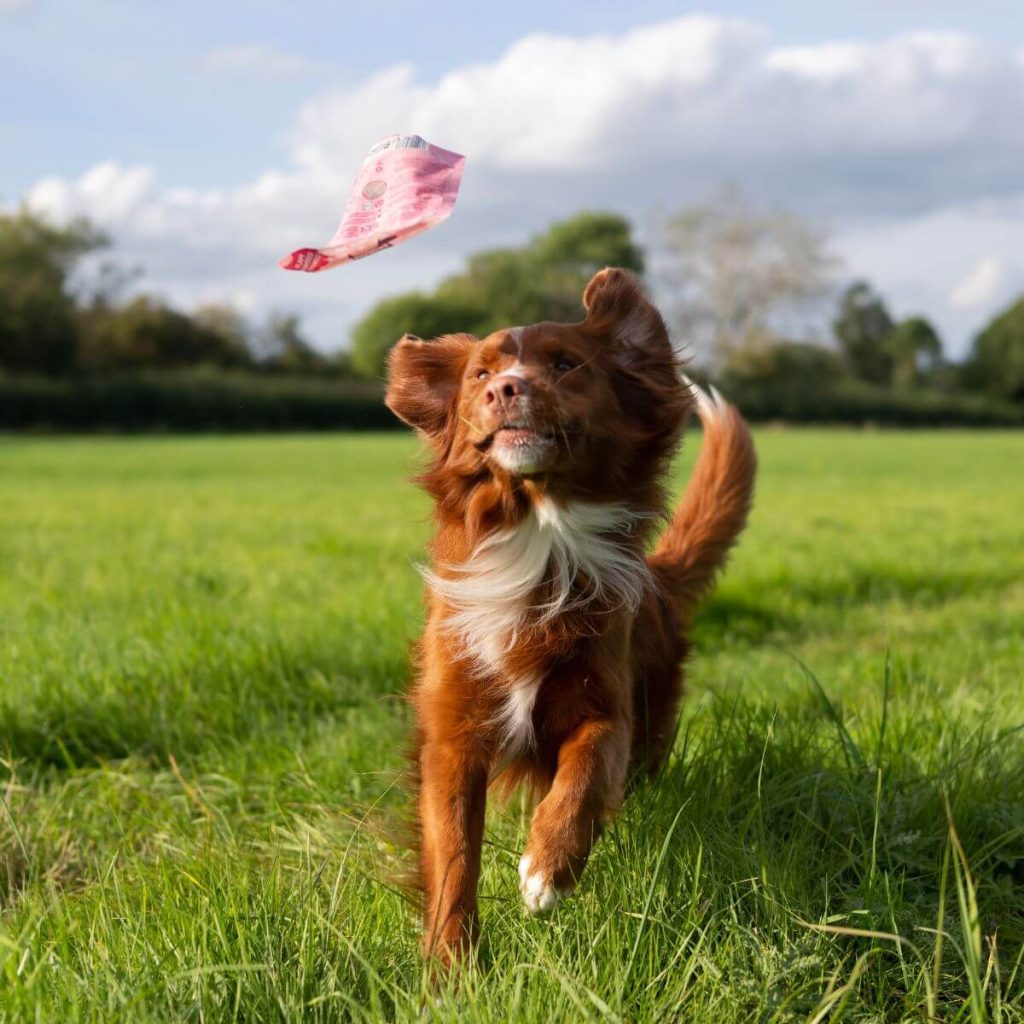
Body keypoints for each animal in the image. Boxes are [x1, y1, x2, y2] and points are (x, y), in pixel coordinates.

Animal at [382, 268, 753, 962]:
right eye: (479, 373)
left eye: (564, 363)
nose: (506, 388)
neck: (542, 536)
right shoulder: (454, 729)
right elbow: (453, 856)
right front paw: (451, 967)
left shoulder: (606, 704)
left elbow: (584, 771)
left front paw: (548, 866)